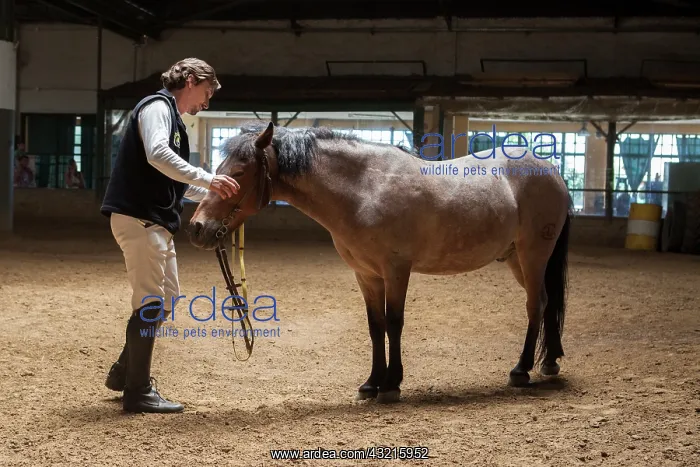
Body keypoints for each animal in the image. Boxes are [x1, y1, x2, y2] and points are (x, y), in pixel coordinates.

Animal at [188, 121, 572, 404]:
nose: (197, 228)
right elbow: (376, 327)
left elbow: (394, 323)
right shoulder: (366, 275)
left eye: (239, 173)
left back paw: (521, 370)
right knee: (546, 302)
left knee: (535, 305)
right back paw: (549, 362)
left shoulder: (396, 271)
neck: (365, 189)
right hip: (517, 259)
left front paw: (391, 385)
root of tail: (551, 171)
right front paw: (371, 383)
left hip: (533, 255)